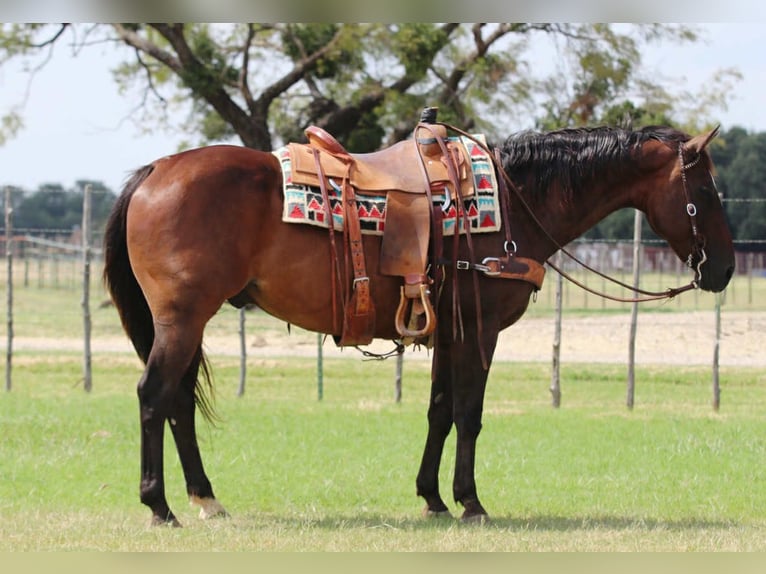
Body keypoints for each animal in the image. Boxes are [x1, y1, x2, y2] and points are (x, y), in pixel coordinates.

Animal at [103, 122, 735, 526]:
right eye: (706, 190)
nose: (725, 268)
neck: (515, 203)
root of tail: (156, 170)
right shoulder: (480, 331)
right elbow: (469, 415)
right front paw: (471, 502)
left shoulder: (449, 333)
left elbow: (439, 412)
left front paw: (432, 498)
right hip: (183, 319)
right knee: (154, 396)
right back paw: (159, 506)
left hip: (189, 322)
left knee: (179, 403)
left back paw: (205, 499)